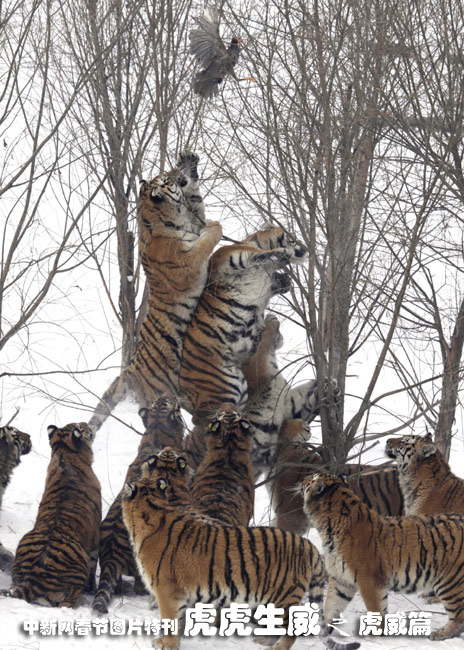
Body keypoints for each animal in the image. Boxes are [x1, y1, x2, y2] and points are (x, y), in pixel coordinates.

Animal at [2, 423, 101, 607]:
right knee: (68, 602)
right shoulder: (95, 536)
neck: (64, 454)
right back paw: (82, 599)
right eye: (80, 426)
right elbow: (94, 564)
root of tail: (31, 581)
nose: (88, 425)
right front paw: (92, 589)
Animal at [89, 152, 222, 432]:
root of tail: (128, 372)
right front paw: (216, 227)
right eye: (166, 178)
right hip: (164, 394)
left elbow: (198, 205)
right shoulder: (188, 264)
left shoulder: (193, 220)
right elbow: (205, 242)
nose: (177, 171)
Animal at [121, 471, 360, 650]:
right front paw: (172, 642)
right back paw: (264, 641)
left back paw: (276, 648)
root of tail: (309, 546)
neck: (153, 508)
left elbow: (170, 621)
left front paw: (166, 645)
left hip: (283, 597)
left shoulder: (166, 590)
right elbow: (179, 621)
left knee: (291, 630)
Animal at [302, 472, 464, 640]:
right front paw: (322, 630)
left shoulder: (369, 581)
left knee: (459, 617)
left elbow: (375, 609)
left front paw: (374, 633)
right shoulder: (341, 580)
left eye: (312, 479)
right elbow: (332, 606)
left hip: (450, 582)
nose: (303, 479)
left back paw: (440, 634)